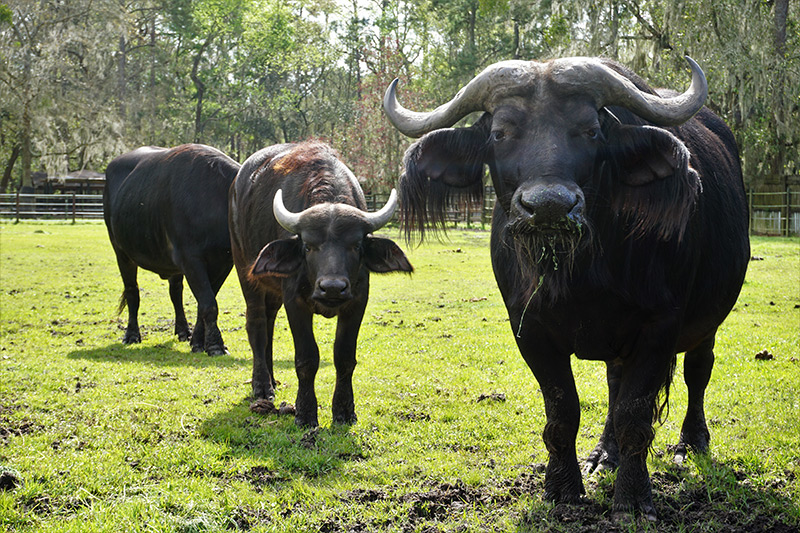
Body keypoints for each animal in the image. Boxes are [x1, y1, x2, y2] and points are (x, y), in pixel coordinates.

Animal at [101, 143, 238, 356]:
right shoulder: (191, 260)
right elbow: (209, 303)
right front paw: (215, 345)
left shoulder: (224, 262)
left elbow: (205, 301)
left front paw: (198, 341)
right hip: (121, 252)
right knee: (132, 292)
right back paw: (132, 335)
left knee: (175, 292)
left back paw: (183, 331)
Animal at [227, 139, 410, 426]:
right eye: (308, 246)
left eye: (356, 245)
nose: (332, 288)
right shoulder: (295, 301)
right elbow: (307, 358)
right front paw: (305, 412)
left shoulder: (357, 300)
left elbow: (344, 356)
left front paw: (344, 411)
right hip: (246, 272)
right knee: (256, 325)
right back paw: (262, 386)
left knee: (268, 323)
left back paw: (272, 379)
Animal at [384, 59, 752, 520]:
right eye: (500, 133)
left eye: (591, 130)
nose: (548, 207)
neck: (581, 273)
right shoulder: (529, 329)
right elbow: (563, 411)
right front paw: (562, 489)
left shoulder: (660, 325)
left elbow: (635, 414)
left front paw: (633, 499)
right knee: (615, 382)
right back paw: (604, 454)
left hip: (708, 321)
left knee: (697, 372)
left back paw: (691, 441)